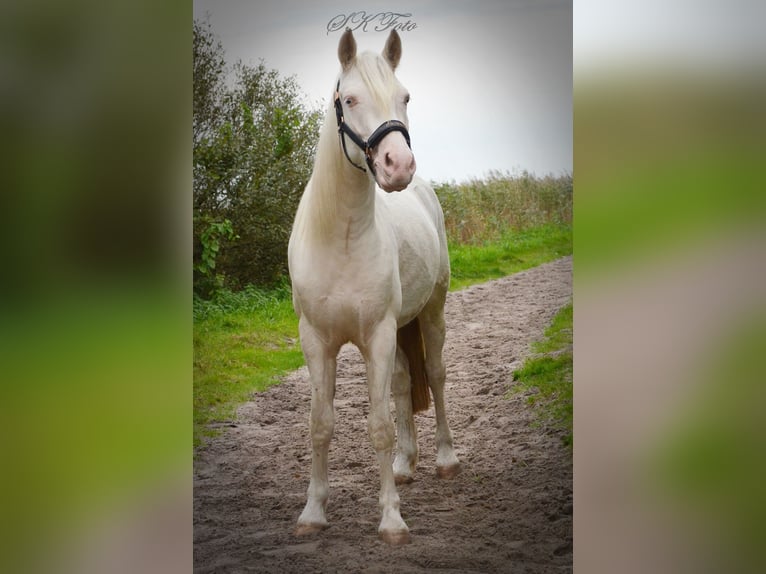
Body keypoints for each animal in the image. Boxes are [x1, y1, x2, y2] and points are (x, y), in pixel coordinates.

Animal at [288, 28, 460, 548]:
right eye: (349, 98)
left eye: (405, 97)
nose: (397, 165)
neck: (341, 236)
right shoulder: (317, 342)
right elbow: (320, 424)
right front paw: (313, 513)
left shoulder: (378, 336)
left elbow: (379, 425)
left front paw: (391, 520)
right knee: (404, 384)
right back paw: (406, 464)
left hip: (431, 313)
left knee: (436, 375)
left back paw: (444, 460)